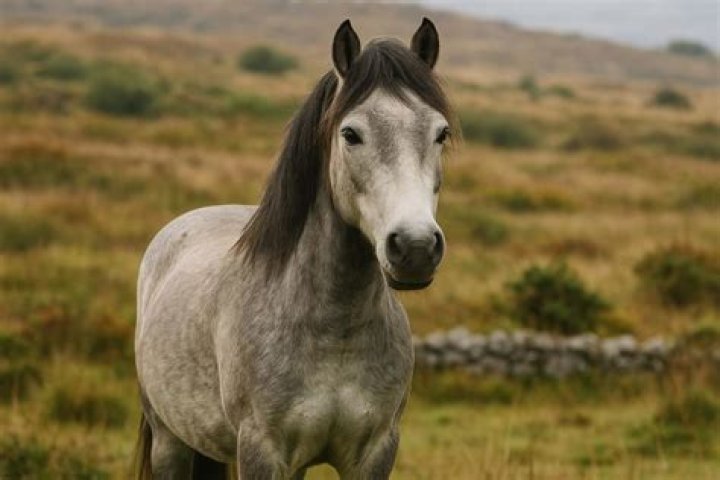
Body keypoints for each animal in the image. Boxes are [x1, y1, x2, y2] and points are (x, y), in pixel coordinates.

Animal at [134, 18, 455, 479]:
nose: (415, 246)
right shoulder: (261, 451)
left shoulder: (375, 452)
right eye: (350, 134)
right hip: (169, 440)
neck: (335, 333)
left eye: (441, 132)